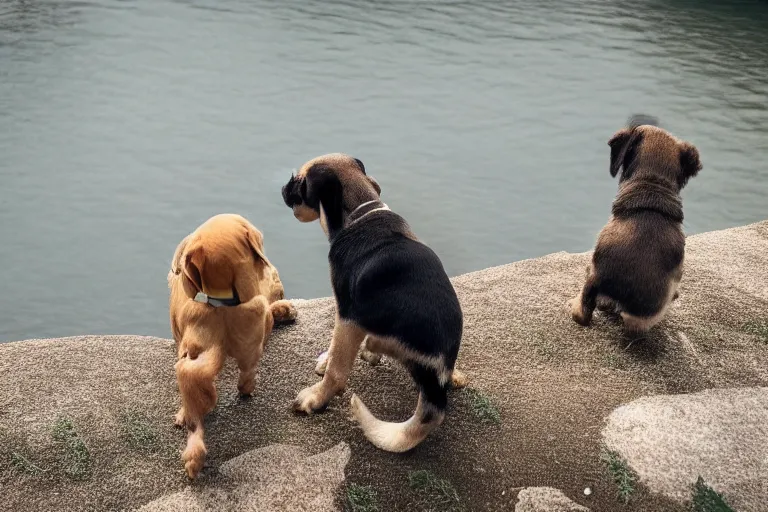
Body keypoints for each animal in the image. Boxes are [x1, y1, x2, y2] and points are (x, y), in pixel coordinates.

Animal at [280, 153, 464, 452]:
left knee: (355, 360)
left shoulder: (346, 314)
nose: (283, 188)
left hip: (364, 322)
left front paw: (321, 386)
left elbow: (337, 364)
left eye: (299, 181)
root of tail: (436, 376)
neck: (361, 213)